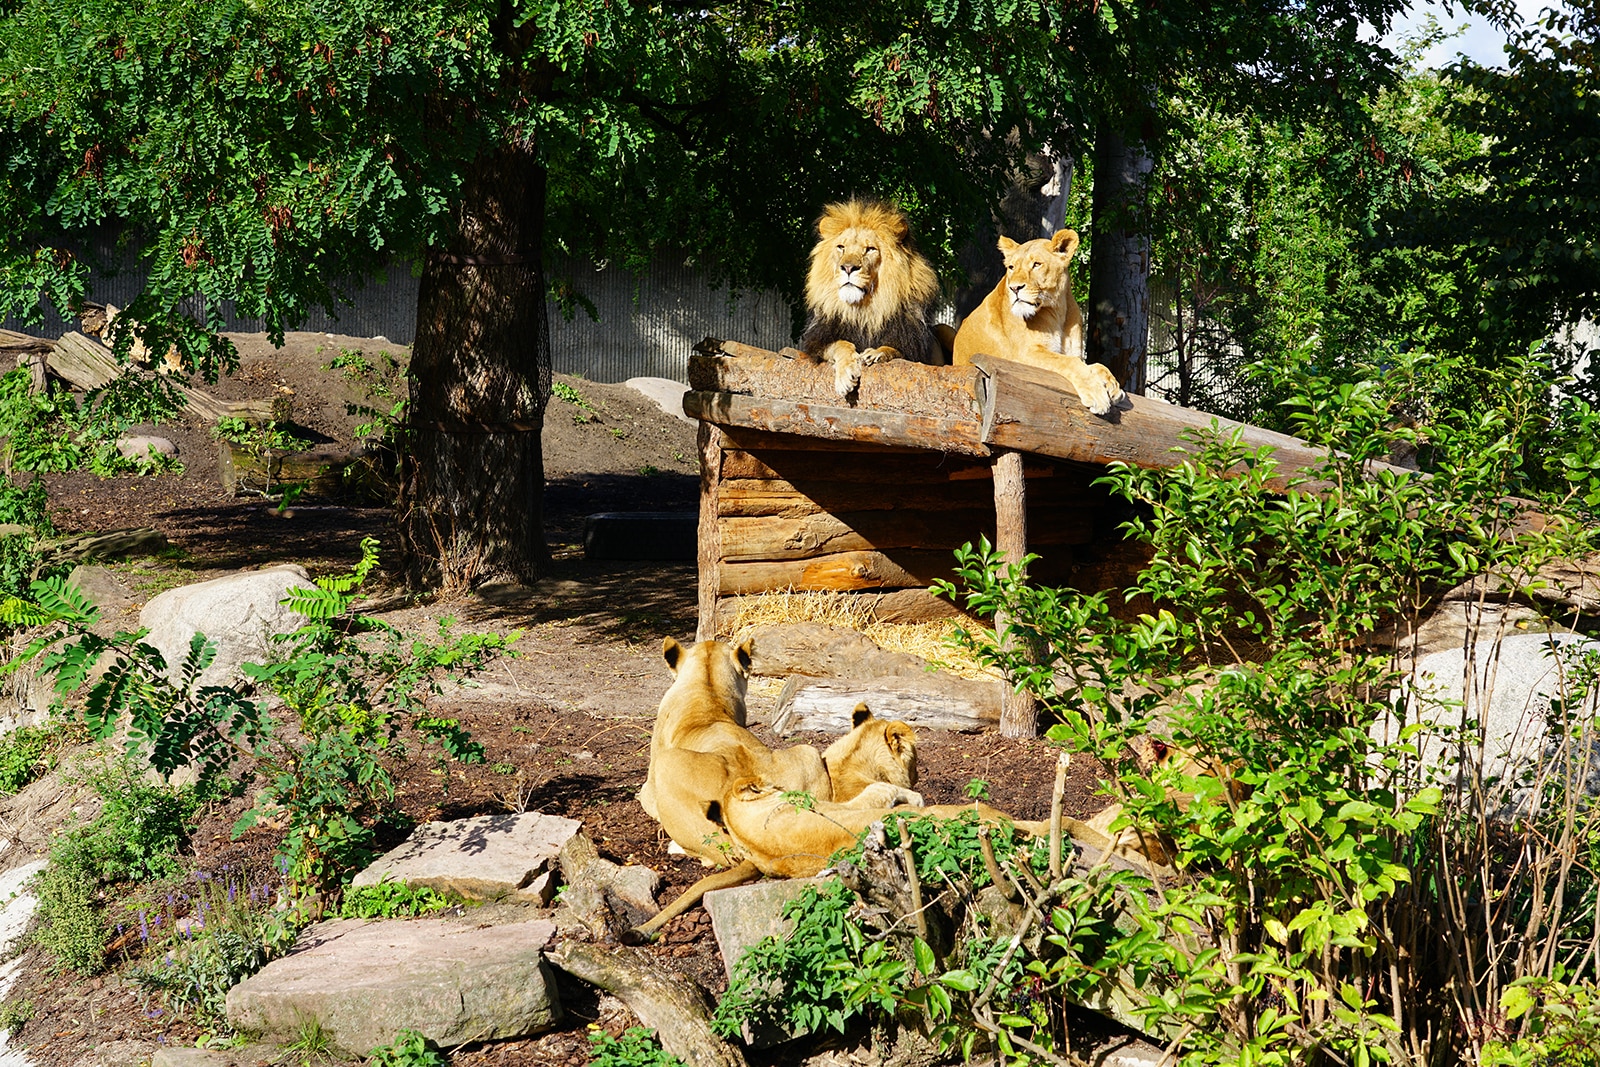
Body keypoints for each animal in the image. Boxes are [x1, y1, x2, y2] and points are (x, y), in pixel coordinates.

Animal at [800, 199, 947, 399]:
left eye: (870, 249)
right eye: (841, 247)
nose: (848, 267)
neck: (864, 310)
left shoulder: (912, 348)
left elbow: (895, 350)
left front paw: (876, 353)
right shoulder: (819, 342)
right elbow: (840, 344)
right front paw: (845, 375)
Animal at [947, 231, 1126, 415]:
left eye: (1037, 264)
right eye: (1011, 267)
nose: (1014, 288)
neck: (1058, 310)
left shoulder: (1074, 351)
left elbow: (1094, 364)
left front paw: (1113, 386)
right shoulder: (1023, 354)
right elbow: (1069, 362)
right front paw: (1097, 394)